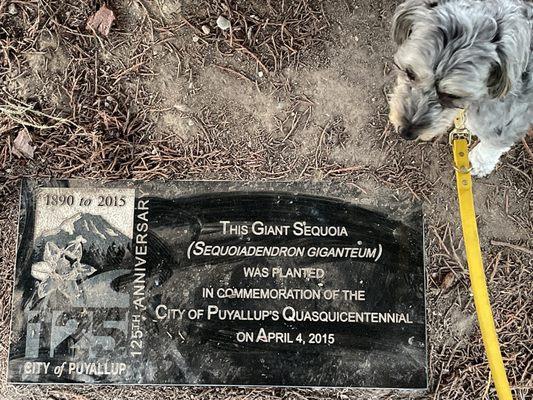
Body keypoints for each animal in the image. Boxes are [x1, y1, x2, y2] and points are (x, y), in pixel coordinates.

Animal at [388, 0, 528, 176]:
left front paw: (480, 164)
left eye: (452, 95)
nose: (406, 133)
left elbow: (493, 143)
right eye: (409, 72)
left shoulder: (511, 120)